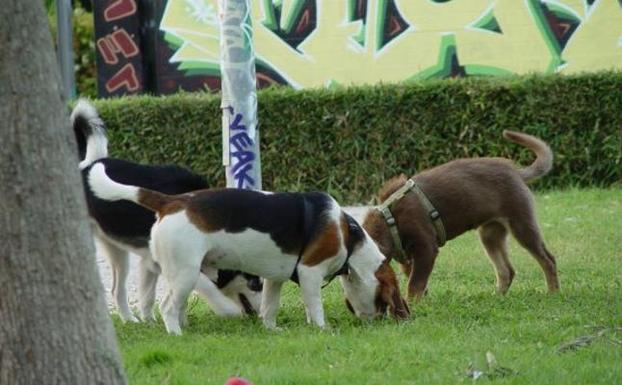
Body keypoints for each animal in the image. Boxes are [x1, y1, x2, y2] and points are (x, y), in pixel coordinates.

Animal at [72, 99, 262, 320]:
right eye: (255, 282)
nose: (259, 316)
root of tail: (85, 167)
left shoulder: (151, 261)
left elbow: (149, 298)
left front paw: (153, 323)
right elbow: (208, 289)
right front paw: (226, 311)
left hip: (117, 251)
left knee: (117, 290)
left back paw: (130, 320)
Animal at [86, 164, 410, 334]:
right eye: (383, 302)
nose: (378, 321)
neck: (349, 237)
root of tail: (172, 202)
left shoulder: (276, 279)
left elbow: (270, 306)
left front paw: (272, 329)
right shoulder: (309, 272)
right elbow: (314, 305)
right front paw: (321, 328)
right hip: (185, 274)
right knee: (167, 307)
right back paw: (176, 334)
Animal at [360, 130, 560, 298]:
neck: (390, 220)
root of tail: (517, 172)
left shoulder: (426, 248)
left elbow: (414, 284)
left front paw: (413, 304)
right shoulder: (409, 258)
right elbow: (418, 282)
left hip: (521, 224)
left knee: (548, 260)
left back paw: (552, 292)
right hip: (490, 234)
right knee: (507, 270)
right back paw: (497, 296)